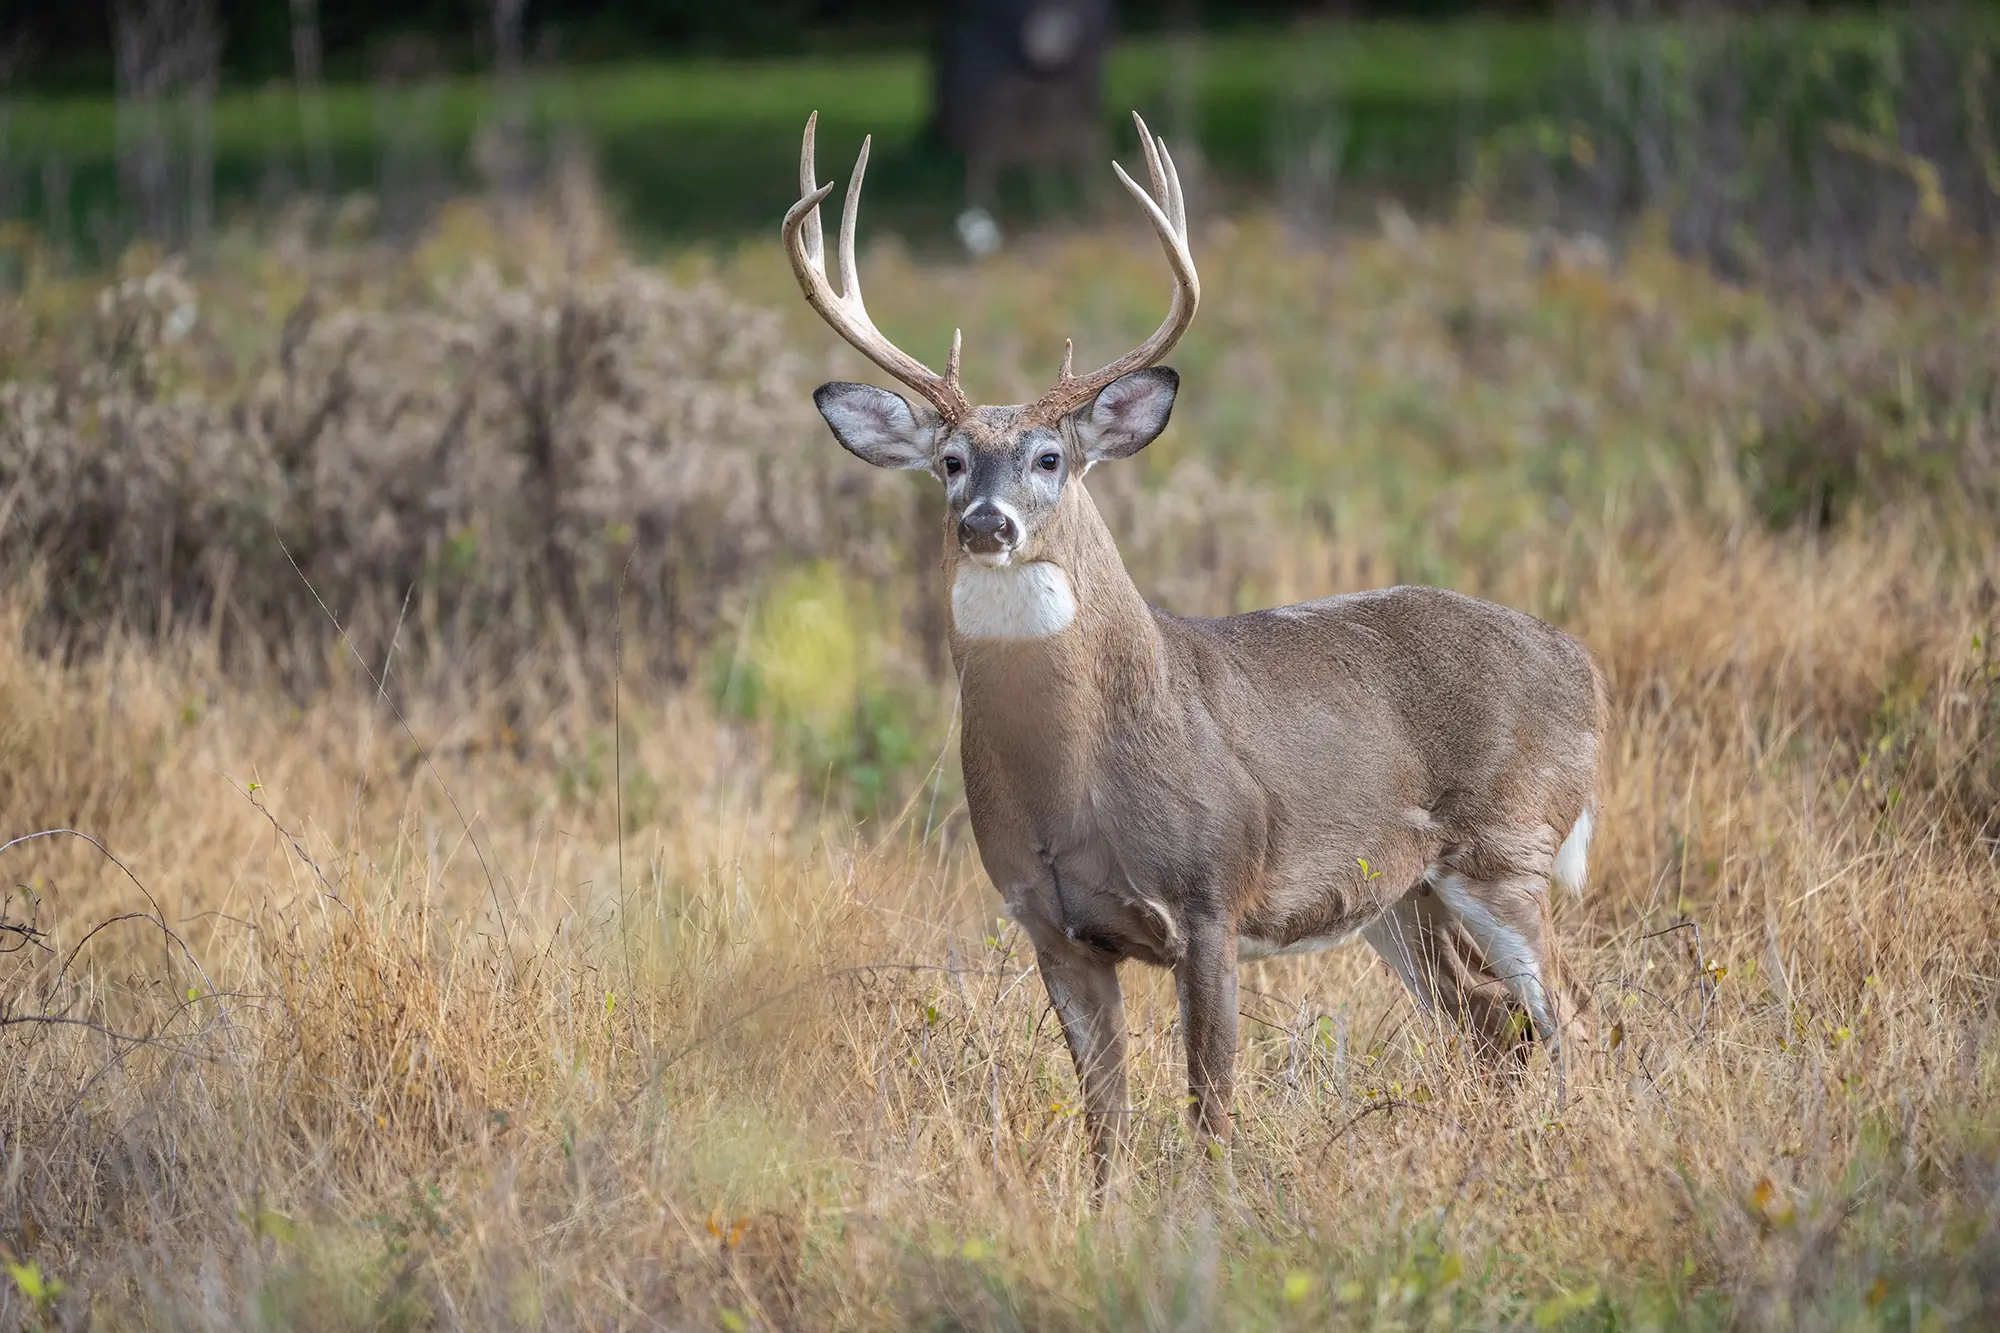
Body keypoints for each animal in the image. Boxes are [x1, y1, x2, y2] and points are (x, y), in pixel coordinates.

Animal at [782, 110, 1605, 1196]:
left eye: (1051, 457)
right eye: (949, 462)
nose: (986, 523)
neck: (1077, 784)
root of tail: (1584, 667)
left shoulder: (1212, 896)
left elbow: (1210, 1109)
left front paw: (1212, 1216)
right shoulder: (1050, 924)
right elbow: (1106, 1119)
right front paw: (1105, 1211)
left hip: (1508, 845)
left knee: (1573, 1020)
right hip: (1404, 895)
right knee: (1490, 1026)